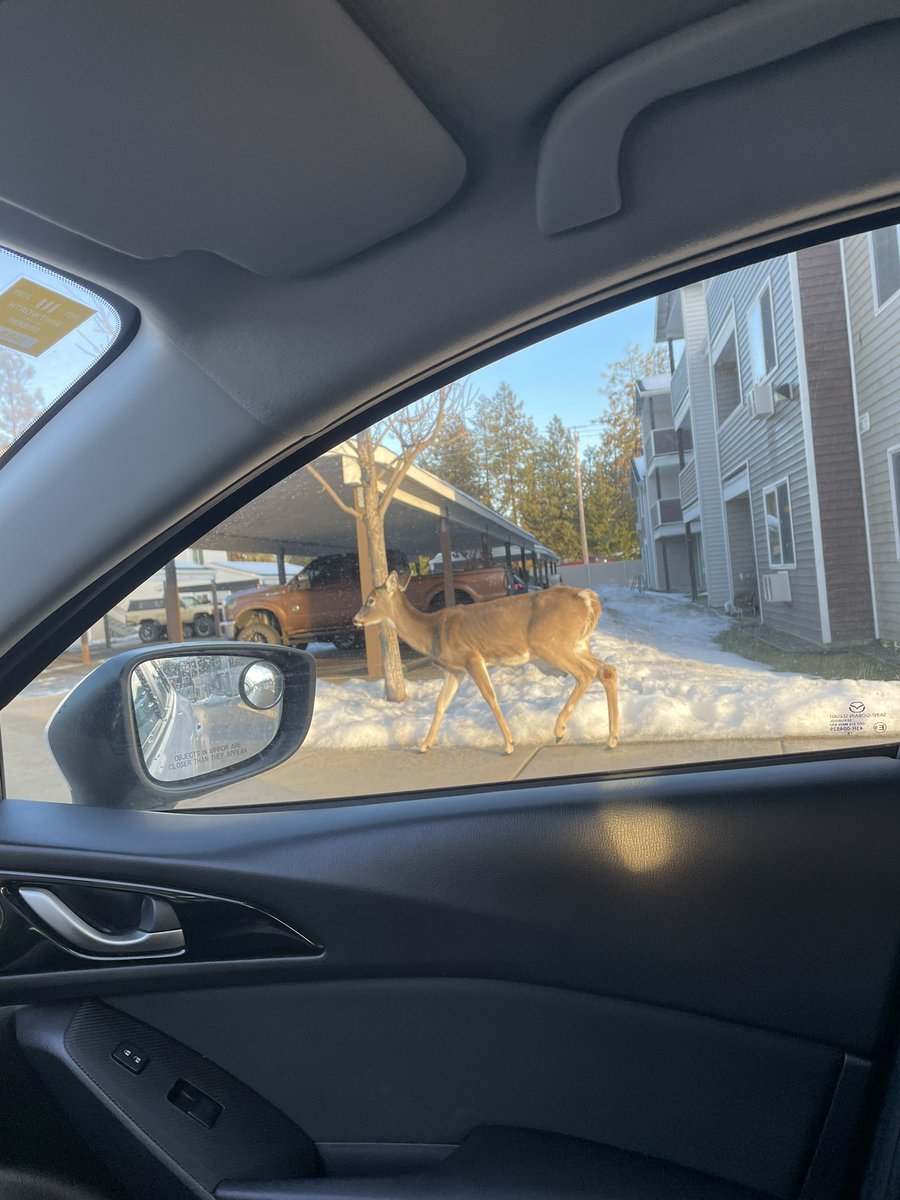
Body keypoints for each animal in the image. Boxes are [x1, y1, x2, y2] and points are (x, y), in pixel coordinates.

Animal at [354, 571, 619, 755]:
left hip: (551, 643)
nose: (356, 619)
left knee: (585, 673)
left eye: (371, 600)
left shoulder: (471, 657)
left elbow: (489, 696)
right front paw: (424, 745)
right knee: (607, 670)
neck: (432, 631)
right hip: (578, 644)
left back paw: (560, 730)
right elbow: (441, 704)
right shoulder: (455, 670)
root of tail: (589, 599)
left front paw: (509, 744)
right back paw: (611, 739)